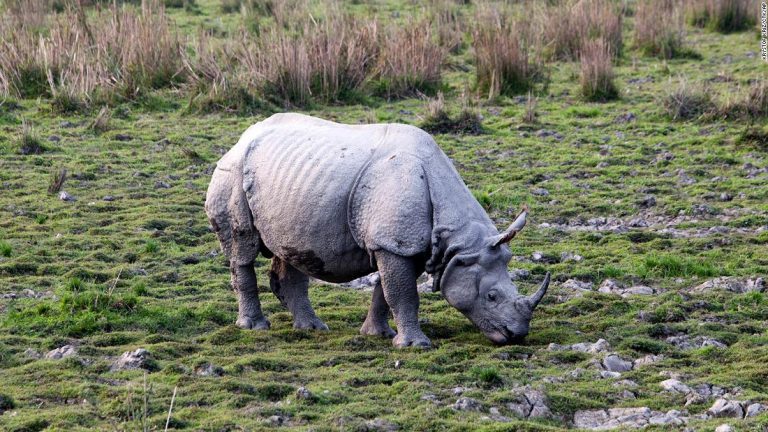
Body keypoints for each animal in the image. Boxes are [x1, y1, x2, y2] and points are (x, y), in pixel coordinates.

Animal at [207, 112, 548, 348]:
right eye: (491, 296)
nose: (517, 335)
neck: (458, 243)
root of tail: (241, 138)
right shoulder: (394, 243)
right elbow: (403, 293)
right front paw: (415, 346)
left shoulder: (404, 244)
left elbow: (386, 291)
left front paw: (379, 334)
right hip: (232, 173)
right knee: (242, 249)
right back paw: (254, 327)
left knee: (290, 250)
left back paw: (313, 328)